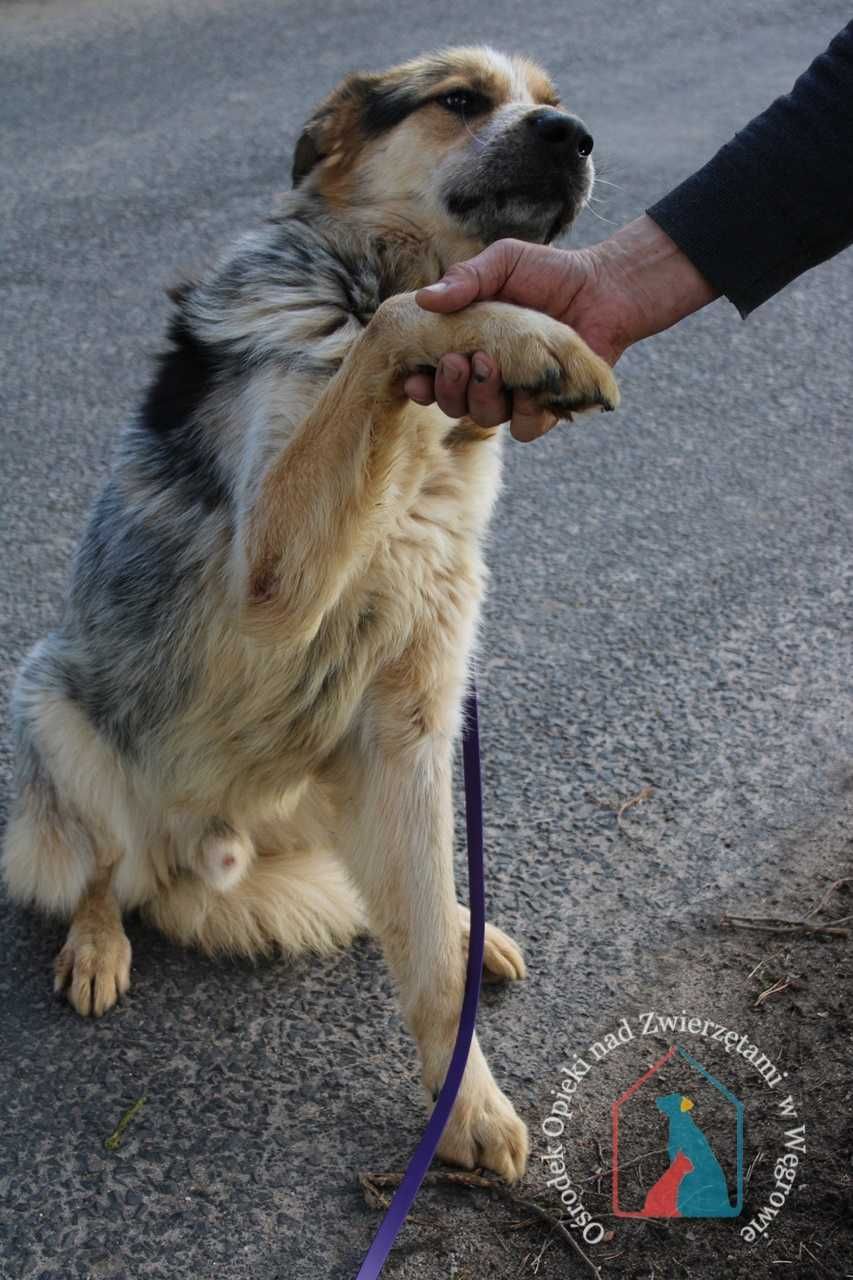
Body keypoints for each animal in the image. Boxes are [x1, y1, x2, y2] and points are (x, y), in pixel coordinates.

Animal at [3, 52, 622, 1187]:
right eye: (460, 100)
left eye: (550, 99)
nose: (574, 135)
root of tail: (202, 854)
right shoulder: (278, 568)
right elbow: (410, 315)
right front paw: (531, 337)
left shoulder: (411, 723)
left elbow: (428, 956)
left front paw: (463, 1103)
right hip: (52, 704)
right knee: (100, 871)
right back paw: (98, 943)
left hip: (338, 769)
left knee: (392, 885)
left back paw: (462, 921)